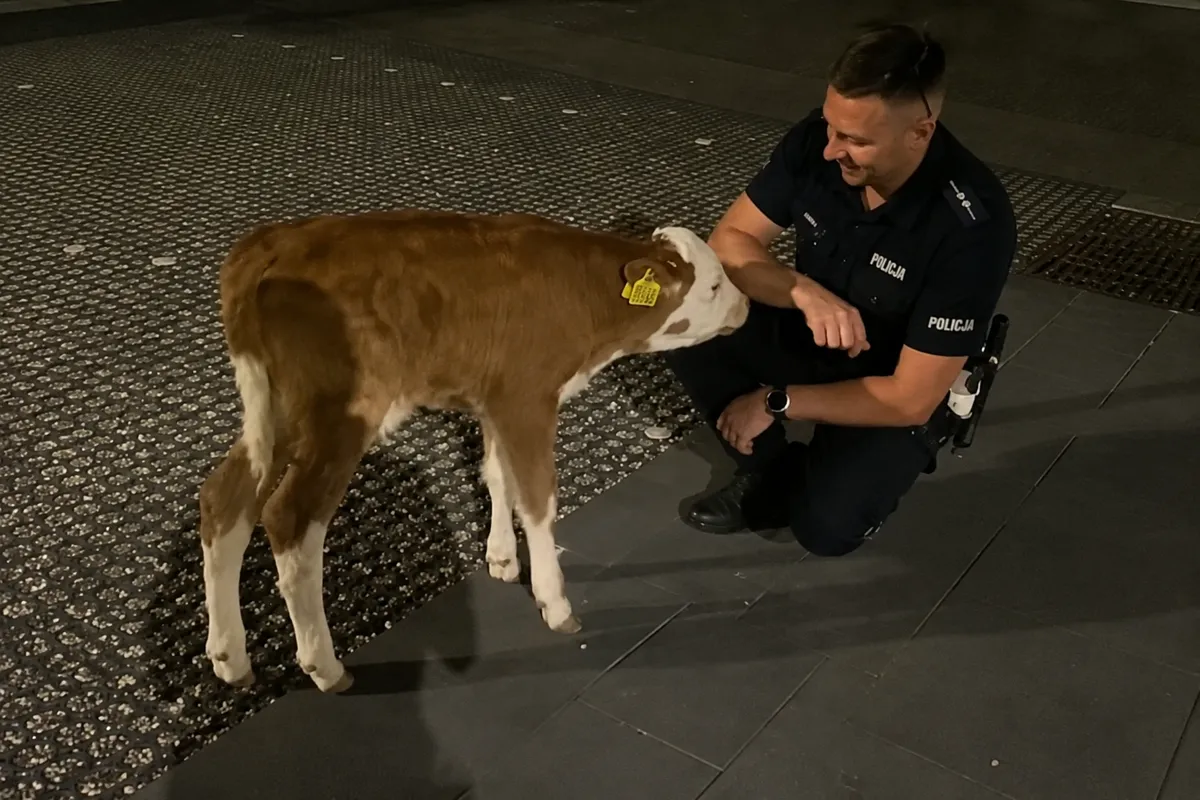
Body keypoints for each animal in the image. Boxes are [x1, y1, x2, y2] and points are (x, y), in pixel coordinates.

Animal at [198, 209, 750, 693]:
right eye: (714, 285)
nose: (745, 306)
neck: (585, 299)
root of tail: (273, 241)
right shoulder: (527, 398)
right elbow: (538, 497)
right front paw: (554, 600)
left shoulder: (495, 400)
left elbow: (497, 473)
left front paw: (502, 556)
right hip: (338, 415)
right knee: (290, 519)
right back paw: (324, 666)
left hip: (277, 411)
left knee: (225, 497)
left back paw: (229, 657)